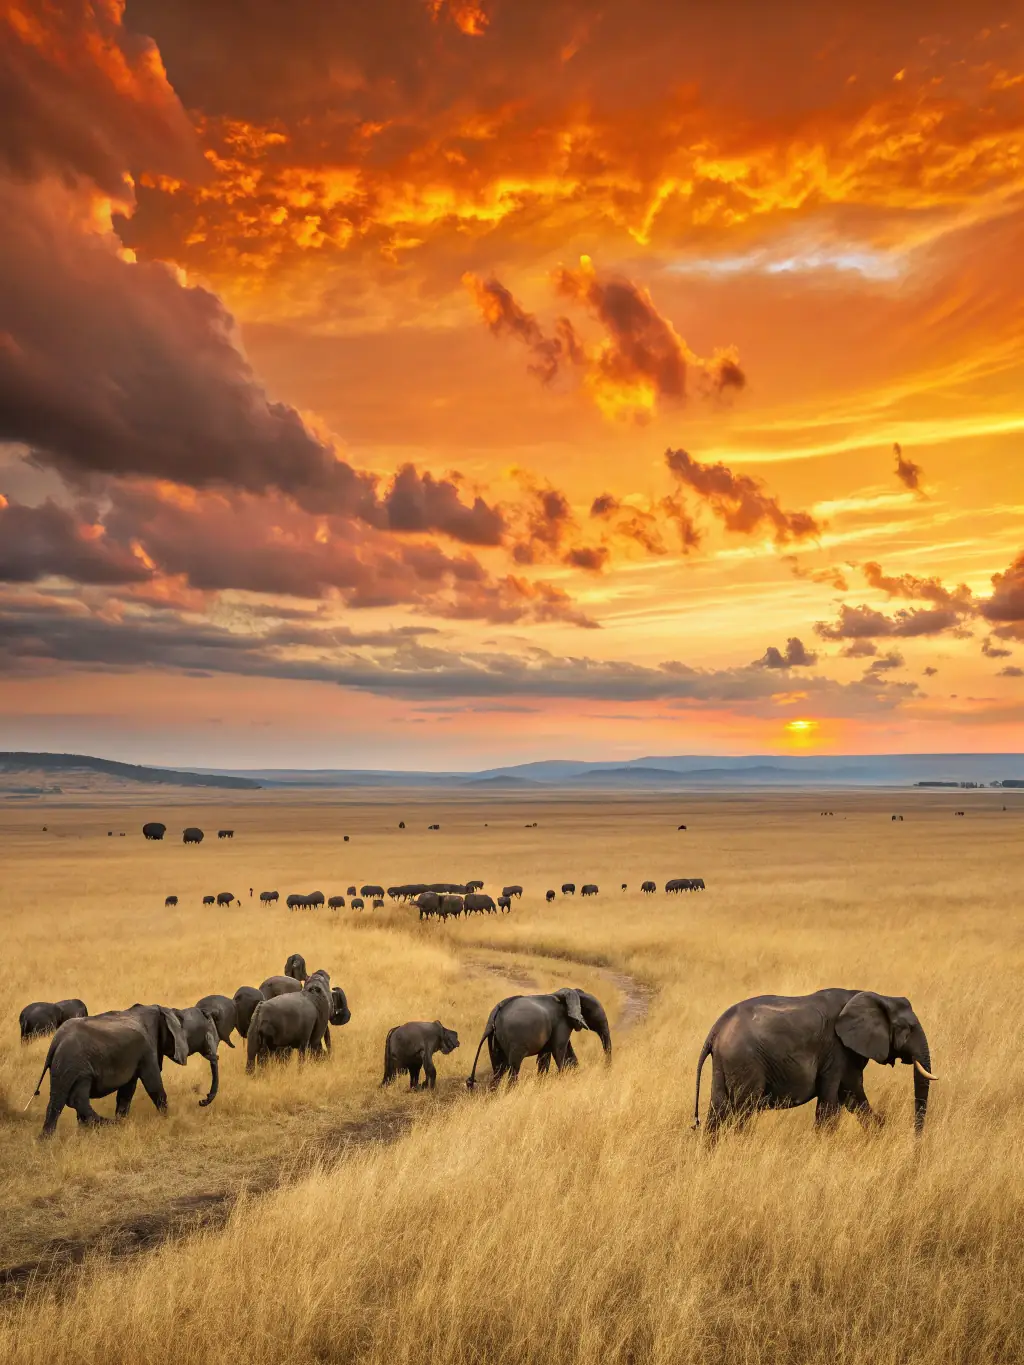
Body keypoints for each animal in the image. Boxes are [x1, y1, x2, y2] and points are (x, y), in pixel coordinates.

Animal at [31, 999, 191, 1135]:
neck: (155, 1008)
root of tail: (56, 1041)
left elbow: (127, 1090)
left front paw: (123, 1120)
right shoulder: (146, 1050)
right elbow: (152, 1083)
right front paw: (167, 1117)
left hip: (66, 1066)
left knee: (58, 1101)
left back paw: (47, 1140)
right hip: (75, 1063)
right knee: (76, 1098)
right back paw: (107, 1124)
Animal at [699, 988, 939, 1135]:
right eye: (908, 1029)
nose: (916, 1148)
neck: (877, 996)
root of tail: (715, 1029)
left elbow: (853, 1097)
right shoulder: (836, 1050)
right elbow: (831, 1105)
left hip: (724, 1063)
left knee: (717, 1112)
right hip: (745, 1062)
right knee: (742, 1112)